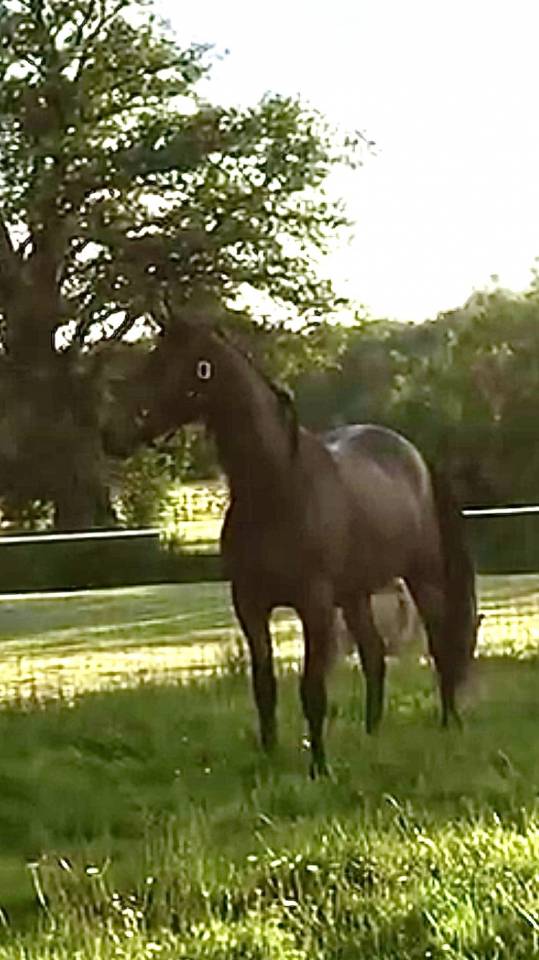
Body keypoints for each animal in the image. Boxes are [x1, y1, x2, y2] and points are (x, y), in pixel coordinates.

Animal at [132, 318, 477, 777]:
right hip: (355, 594)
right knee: (374, 655)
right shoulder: (250, 604)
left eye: (177, 364)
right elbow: (264, 686)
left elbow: (312, 689)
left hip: (422, 578)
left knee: (440, 646)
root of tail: (414, 454)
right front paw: (270, 757)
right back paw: (372, 734)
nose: (112, 432)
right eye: (151, 357)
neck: (279, 488)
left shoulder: (314, 606)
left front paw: (319, 769)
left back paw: (448, 723)